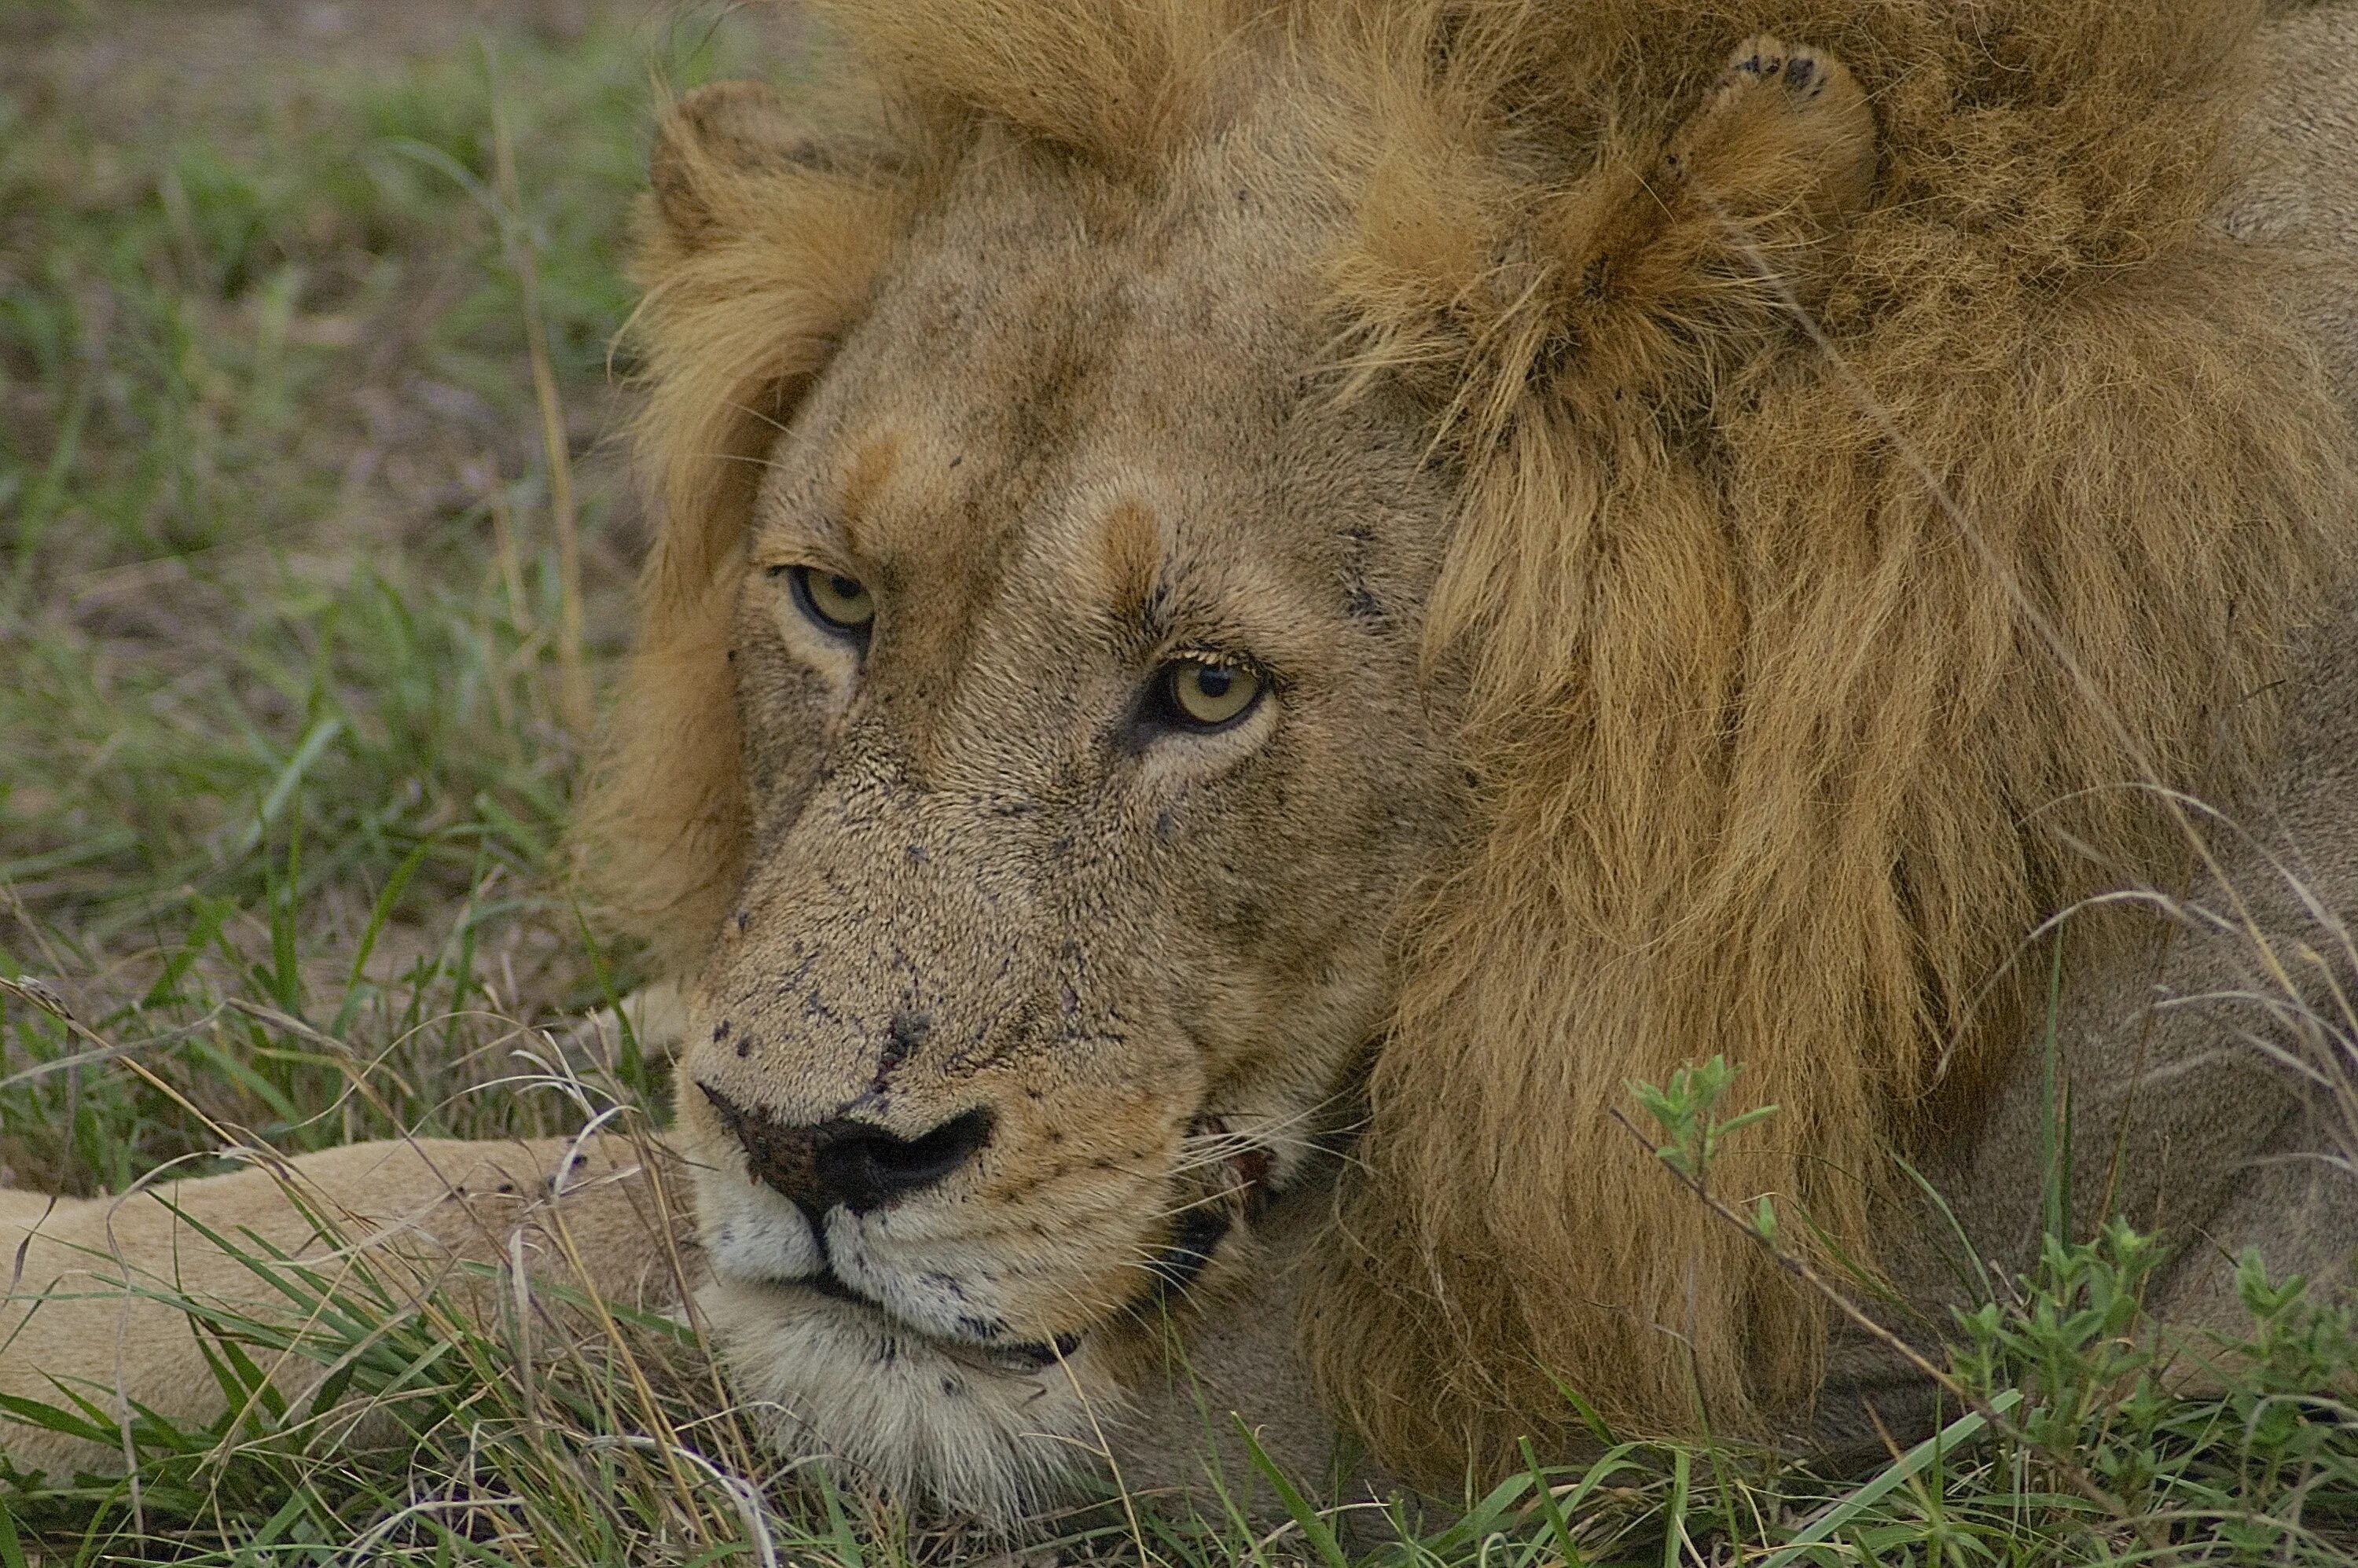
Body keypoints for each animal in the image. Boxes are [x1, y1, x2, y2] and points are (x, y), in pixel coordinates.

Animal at [4, 0, 2358, 1528]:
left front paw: (62, 1294)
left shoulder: (1624, 1367)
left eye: (1209, 690)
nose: (808, 1149)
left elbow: (545, 1232)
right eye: (832, 599)